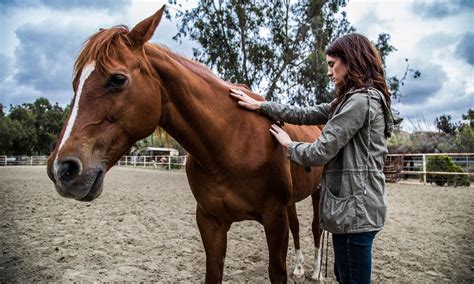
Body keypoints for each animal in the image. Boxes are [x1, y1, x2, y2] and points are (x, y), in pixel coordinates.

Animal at [45, 6, 326, 282]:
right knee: (298, 227)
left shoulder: (274, 218)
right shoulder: (210, 222)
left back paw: (314, 271)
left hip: (316, 194)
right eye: (75, 84)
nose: (61, 169)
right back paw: (299, 267)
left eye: (117, 79)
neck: (230, 143)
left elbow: (278, 268)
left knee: (316, 228)